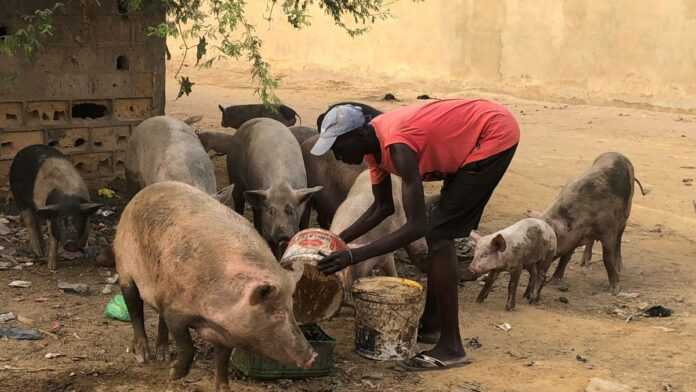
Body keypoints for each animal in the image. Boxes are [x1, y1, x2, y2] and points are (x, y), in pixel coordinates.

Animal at [114, 182, 316, 390]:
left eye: (291, 309)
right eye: (277, 312)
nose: (313, 356)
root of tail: (141, 194)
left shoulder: (226, 332)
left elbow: (223, 359)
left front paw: (223, 388)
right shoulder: (175, 310)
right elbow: (187, 345)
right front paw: (173, 375)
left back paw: (163, 356)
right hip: (124, 264)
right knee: (134, 307)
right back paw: (143, 356)